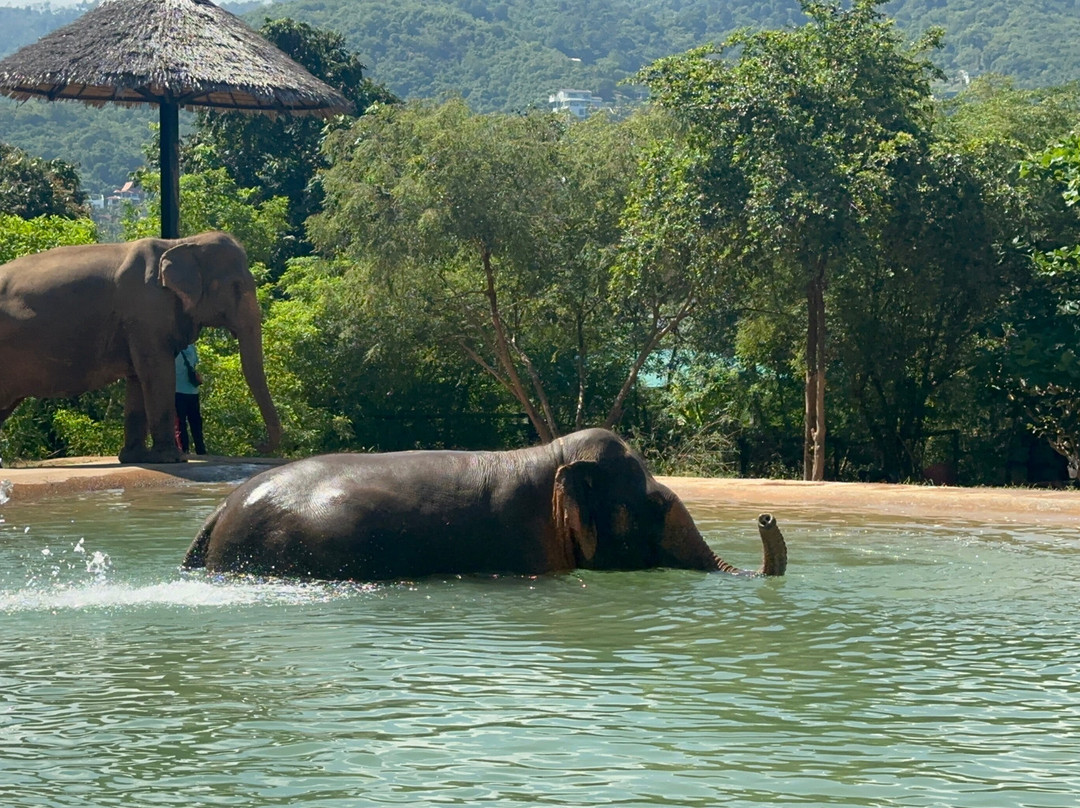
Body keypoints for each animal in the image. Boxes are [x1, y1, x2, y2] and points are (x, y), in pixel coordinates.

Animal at [0, 231, 281, 464]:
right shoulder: (147, 313)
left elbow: (138, 377)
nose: (257, 443)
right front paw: (173, 459)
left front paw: (135, 458)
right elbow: (157, 372)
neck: (180, 242)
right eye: (236, 286)